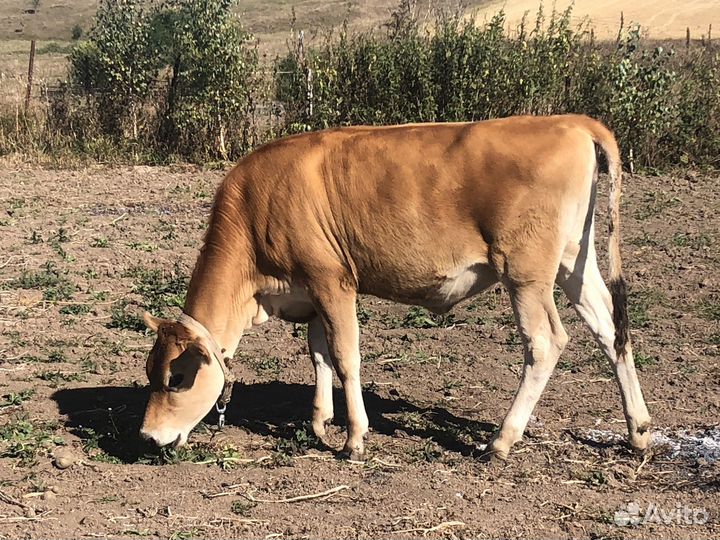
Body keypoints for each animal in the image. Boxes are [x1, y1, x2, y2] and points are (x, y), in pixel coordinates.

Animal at [139, 114, 652, 461]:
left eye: (177, 378)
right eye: (150, 373)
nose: (147, 436)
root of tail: (570, 121)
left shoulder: (333, 282)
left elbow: (345, 357)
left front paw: (354, 438)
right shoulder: (311, 293)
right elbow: (319, 354)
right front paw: (321, 422)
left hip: (525, 272)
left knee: (546, 342)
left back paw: (502, 439)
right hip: (573, 262)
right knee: (611, 330)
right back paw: (639, 431)